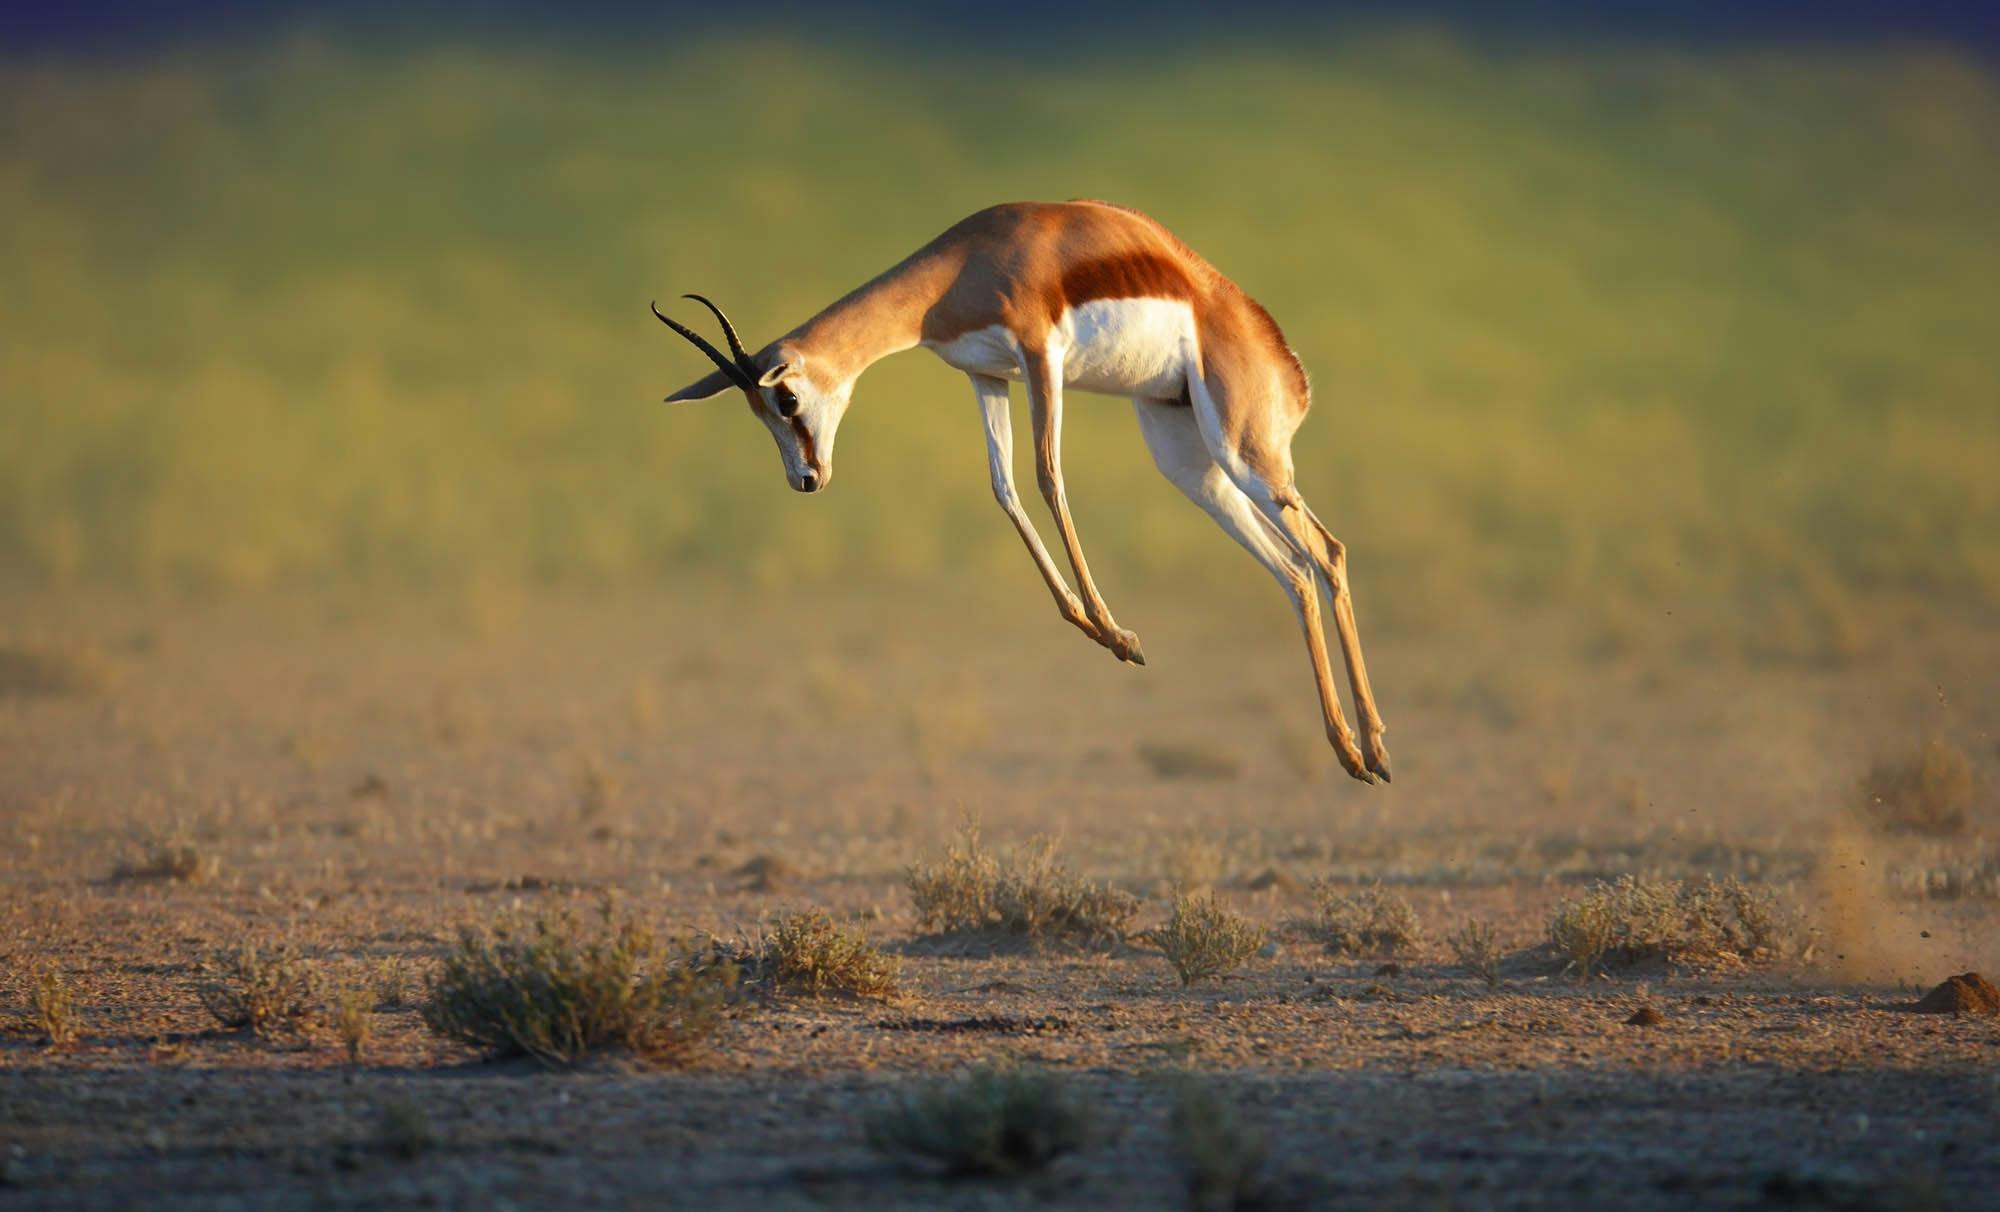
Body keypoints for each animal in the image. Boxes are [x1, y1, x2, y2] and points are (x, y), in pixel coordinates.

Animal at [652, 202, 1392, 788]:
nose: (805, 479)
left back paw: (1375, 752)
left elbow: (1046, 476)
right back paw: (1352, 753)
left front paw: (1120, 635)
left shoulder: (1040, 356)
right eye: (758, 414)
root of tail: (1281, 360)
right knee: (1294, 571)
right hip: (1190, 463)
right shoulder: (987, 376)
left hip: (1245, 455)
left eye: (785, 399)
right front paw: (1101, 632)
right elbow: (1004, 489)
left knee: (1327, 551)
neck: (963, 266)